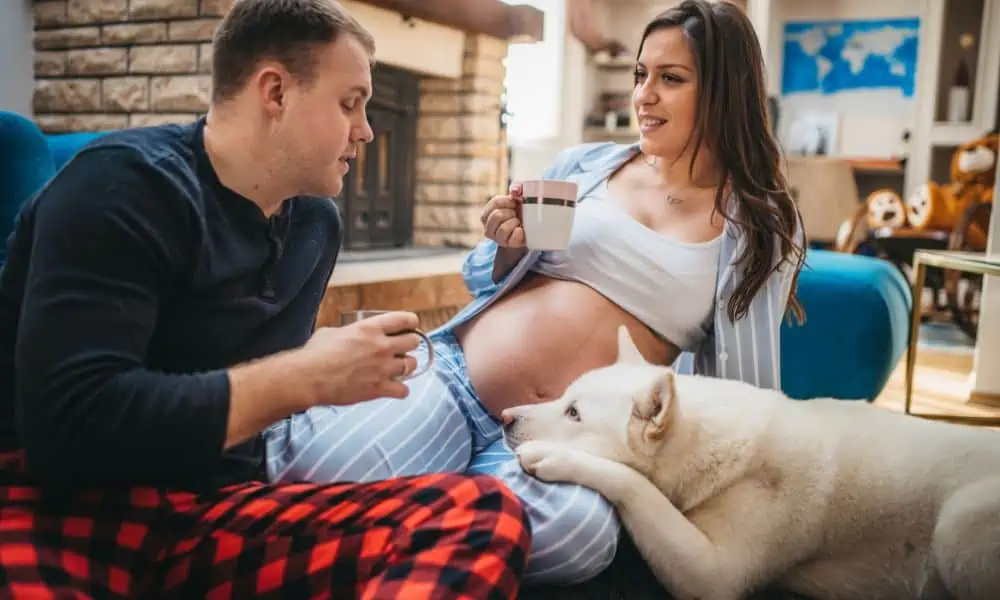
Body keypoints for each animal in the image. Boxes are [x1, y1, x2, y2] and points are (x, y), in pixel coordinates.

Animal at [504, 326, 1000, 600]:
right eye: (565, 398)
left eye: (574, 414)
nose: (505, 417)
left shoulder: (712, 574)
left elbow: (633, 482)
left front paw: (557, 456)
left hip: (957, 524)